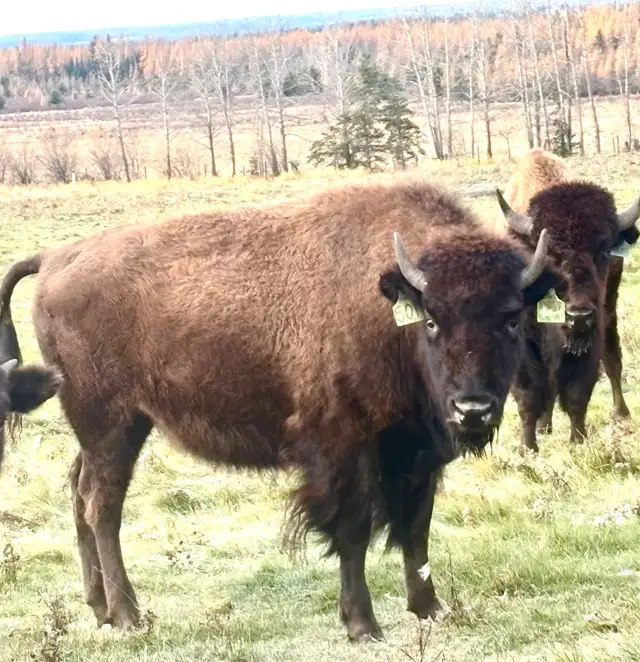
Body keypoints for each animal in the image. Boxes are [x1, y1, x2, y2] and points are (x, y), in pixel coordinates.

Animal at [0, 178, 553, 641]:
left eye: (511, 318)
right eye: (433, 320)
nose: (473, 409)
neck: (388, 305)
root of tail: (55, 257)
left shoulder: (416, 452)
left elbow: (416, 528)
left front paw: (430, 609)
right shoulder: (343, 447)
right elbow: (352, 530)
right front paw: (363, 626)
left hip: (110, 429)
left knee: (79, 492)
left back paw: (99, 609)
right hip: (111, 423)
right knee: (102, 505)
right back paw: (129, 616)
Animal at [495, 148, 640, 451]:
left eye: (604, 252)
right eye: (549, 255)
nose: (578, 316)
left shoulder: (588, 338)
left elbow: (577, 392)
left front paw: (578, 441)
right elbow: (528, 394)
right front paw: (528, 447)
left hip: (609, 312)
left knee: (612, 360)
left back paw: (621, 414)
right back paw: (544, 426)